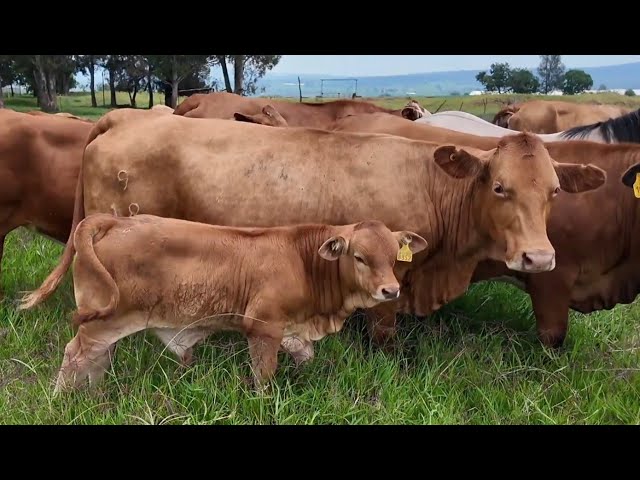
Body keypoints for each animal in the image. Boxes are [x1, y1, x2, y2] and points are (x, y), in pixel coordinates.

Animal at [17, 109, 606, 357]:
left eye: (554, 191)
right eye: (500, 187)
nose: (538, 258)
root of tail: (128, 118)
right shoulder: (386, 281)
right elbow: (384, 332)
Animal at [52, 213, 428, 393]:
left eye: (394, 258)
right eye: (360, 257)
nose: (390, 291)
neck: (304, 262)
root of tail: (114, 220)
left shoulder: (293, 331)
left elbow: (305, 358)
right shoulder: (263, 328)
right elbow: (264, 377)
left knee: (97, 359)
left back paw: (95, 395)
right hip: (103, 320)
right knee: (75, 354)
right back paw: (63, 398)